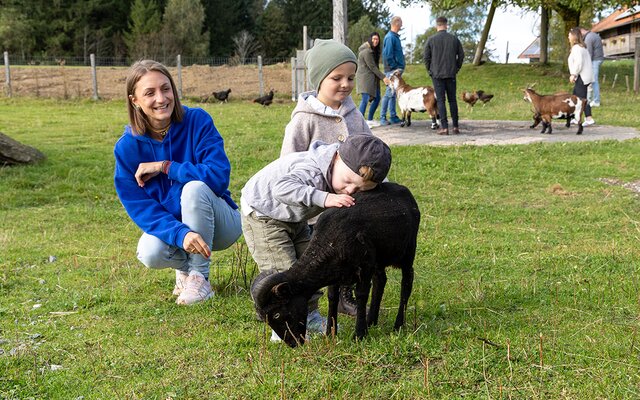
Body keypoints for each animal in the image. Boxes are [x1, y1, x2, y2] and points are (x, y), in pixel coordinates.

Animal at [250, 182, 420, 346]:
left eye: (276, 314)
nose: (293, 343)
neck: (328, 241)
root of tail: (405, 191)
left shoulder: (364, 266)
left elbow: (361, 295)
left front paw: (359, 335)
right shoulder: (335, 271)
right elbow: (332, 297)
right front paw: (330, 333)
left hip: (408, 252)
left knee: (406, 283)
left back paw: (398, 325)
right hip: (379, 259)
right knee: (380, 281)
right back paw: (371, 321)